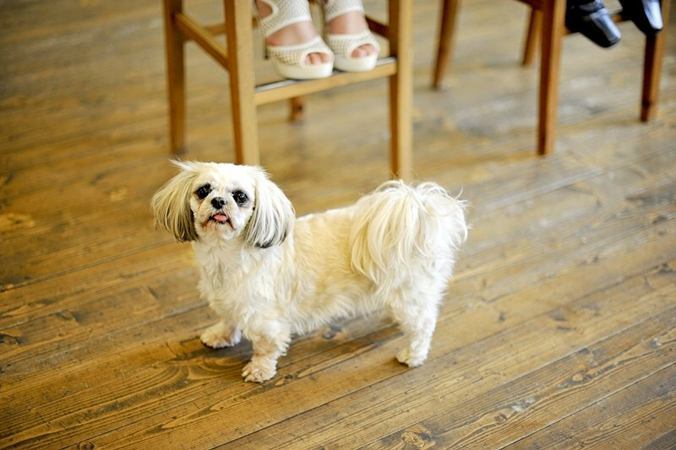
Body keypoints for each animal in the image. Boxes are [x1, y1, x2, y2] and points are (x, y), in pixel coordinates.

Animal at [151, 161, 468, 382]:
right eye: (203, 190)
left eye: (240, 196)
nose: (218, 201)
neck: (225, 254)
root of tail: (420, 213)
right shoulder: (229, 300)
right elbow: (228, 319)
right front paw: (220, 335)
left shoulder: (266, 319)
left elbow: (266, 347)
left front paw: (259, 370)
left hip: (411, 293)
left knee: (423, 325)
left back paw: (412, 355)